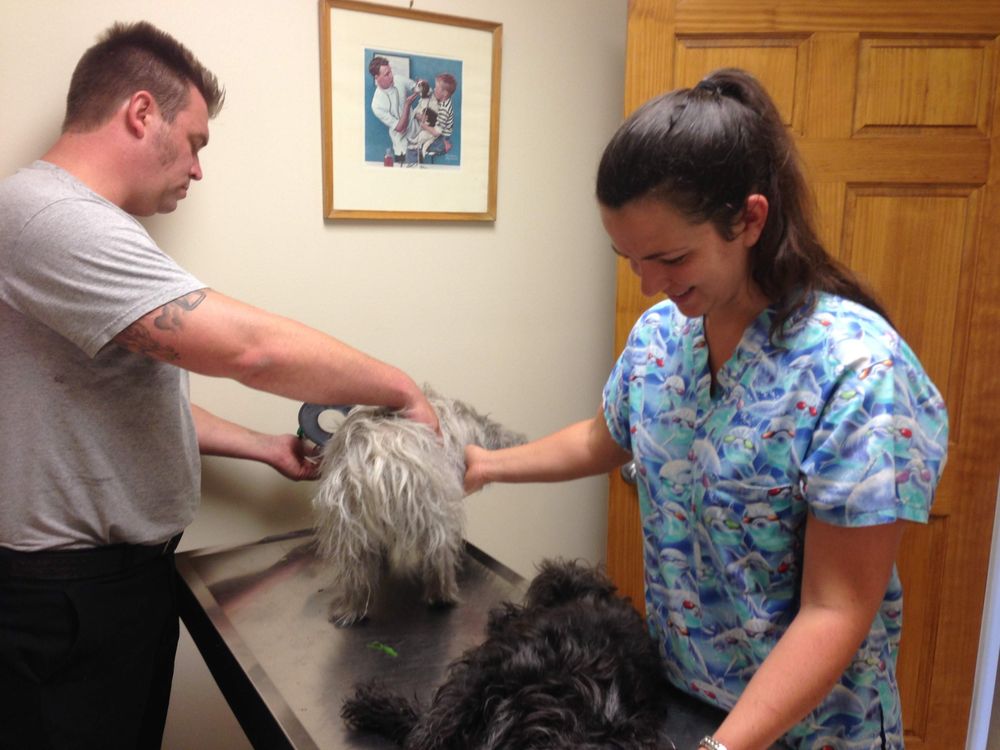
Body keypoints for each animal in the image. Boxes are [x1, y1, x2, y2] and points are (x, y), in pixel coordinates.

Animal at [310, 386, 526, 627]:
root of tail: (378, 460)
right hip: (437, 518)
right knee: (439, 559)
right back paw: (442, 596)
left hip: (349, 532)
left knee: (356, 575)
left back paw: (351, 609)